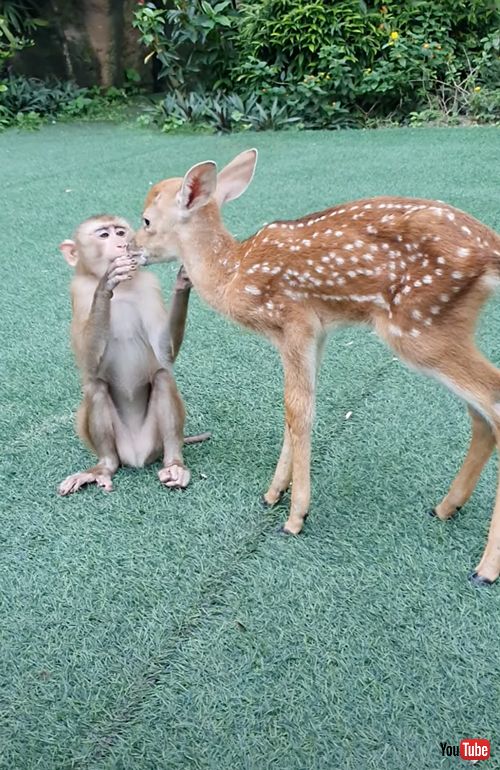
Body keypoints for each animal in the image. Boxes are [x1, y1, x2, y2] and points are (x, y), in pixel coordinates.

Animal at [133, 148, 500, 586]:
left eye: (146, 220)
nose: (130, 249)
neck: (234, 273)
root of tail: (491, 249)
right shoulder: (315, 334)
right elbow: (297, 408)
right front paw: (273, 494)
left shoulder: (294, 320)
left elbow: (297, 410)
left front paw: (295, 516)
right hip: (446, 327)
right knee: (481, 416)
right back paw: (446, 507)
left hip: (418, 326)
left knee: (493, 399)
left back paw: (486, 567)